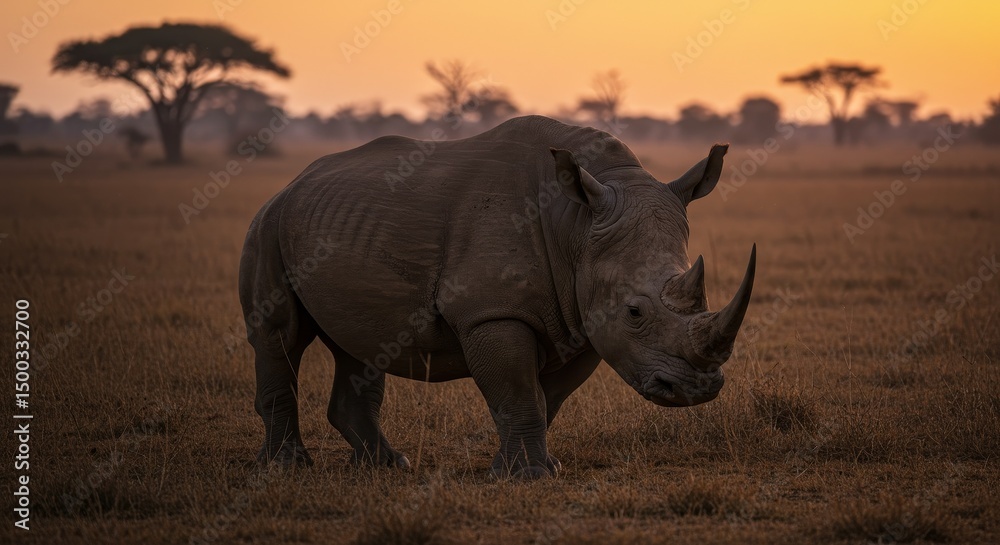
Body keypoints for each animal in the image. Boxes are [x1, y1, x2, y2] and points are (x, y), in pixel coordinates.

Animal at [239, 115, 755, 479]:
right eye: (633, 312)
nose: (695, 390)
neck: (575, 224)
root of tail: (291, 185)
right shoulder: (492, 313)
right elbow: (518, 389)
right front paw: (527, 476)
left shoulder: (583, 320)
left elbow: (547, 398)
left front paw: (535, 468)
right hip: (268, 225)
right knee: (281, 335)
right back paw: (286, 468)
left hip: (330, 222)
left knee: (359, 343)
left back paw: (388, 465)